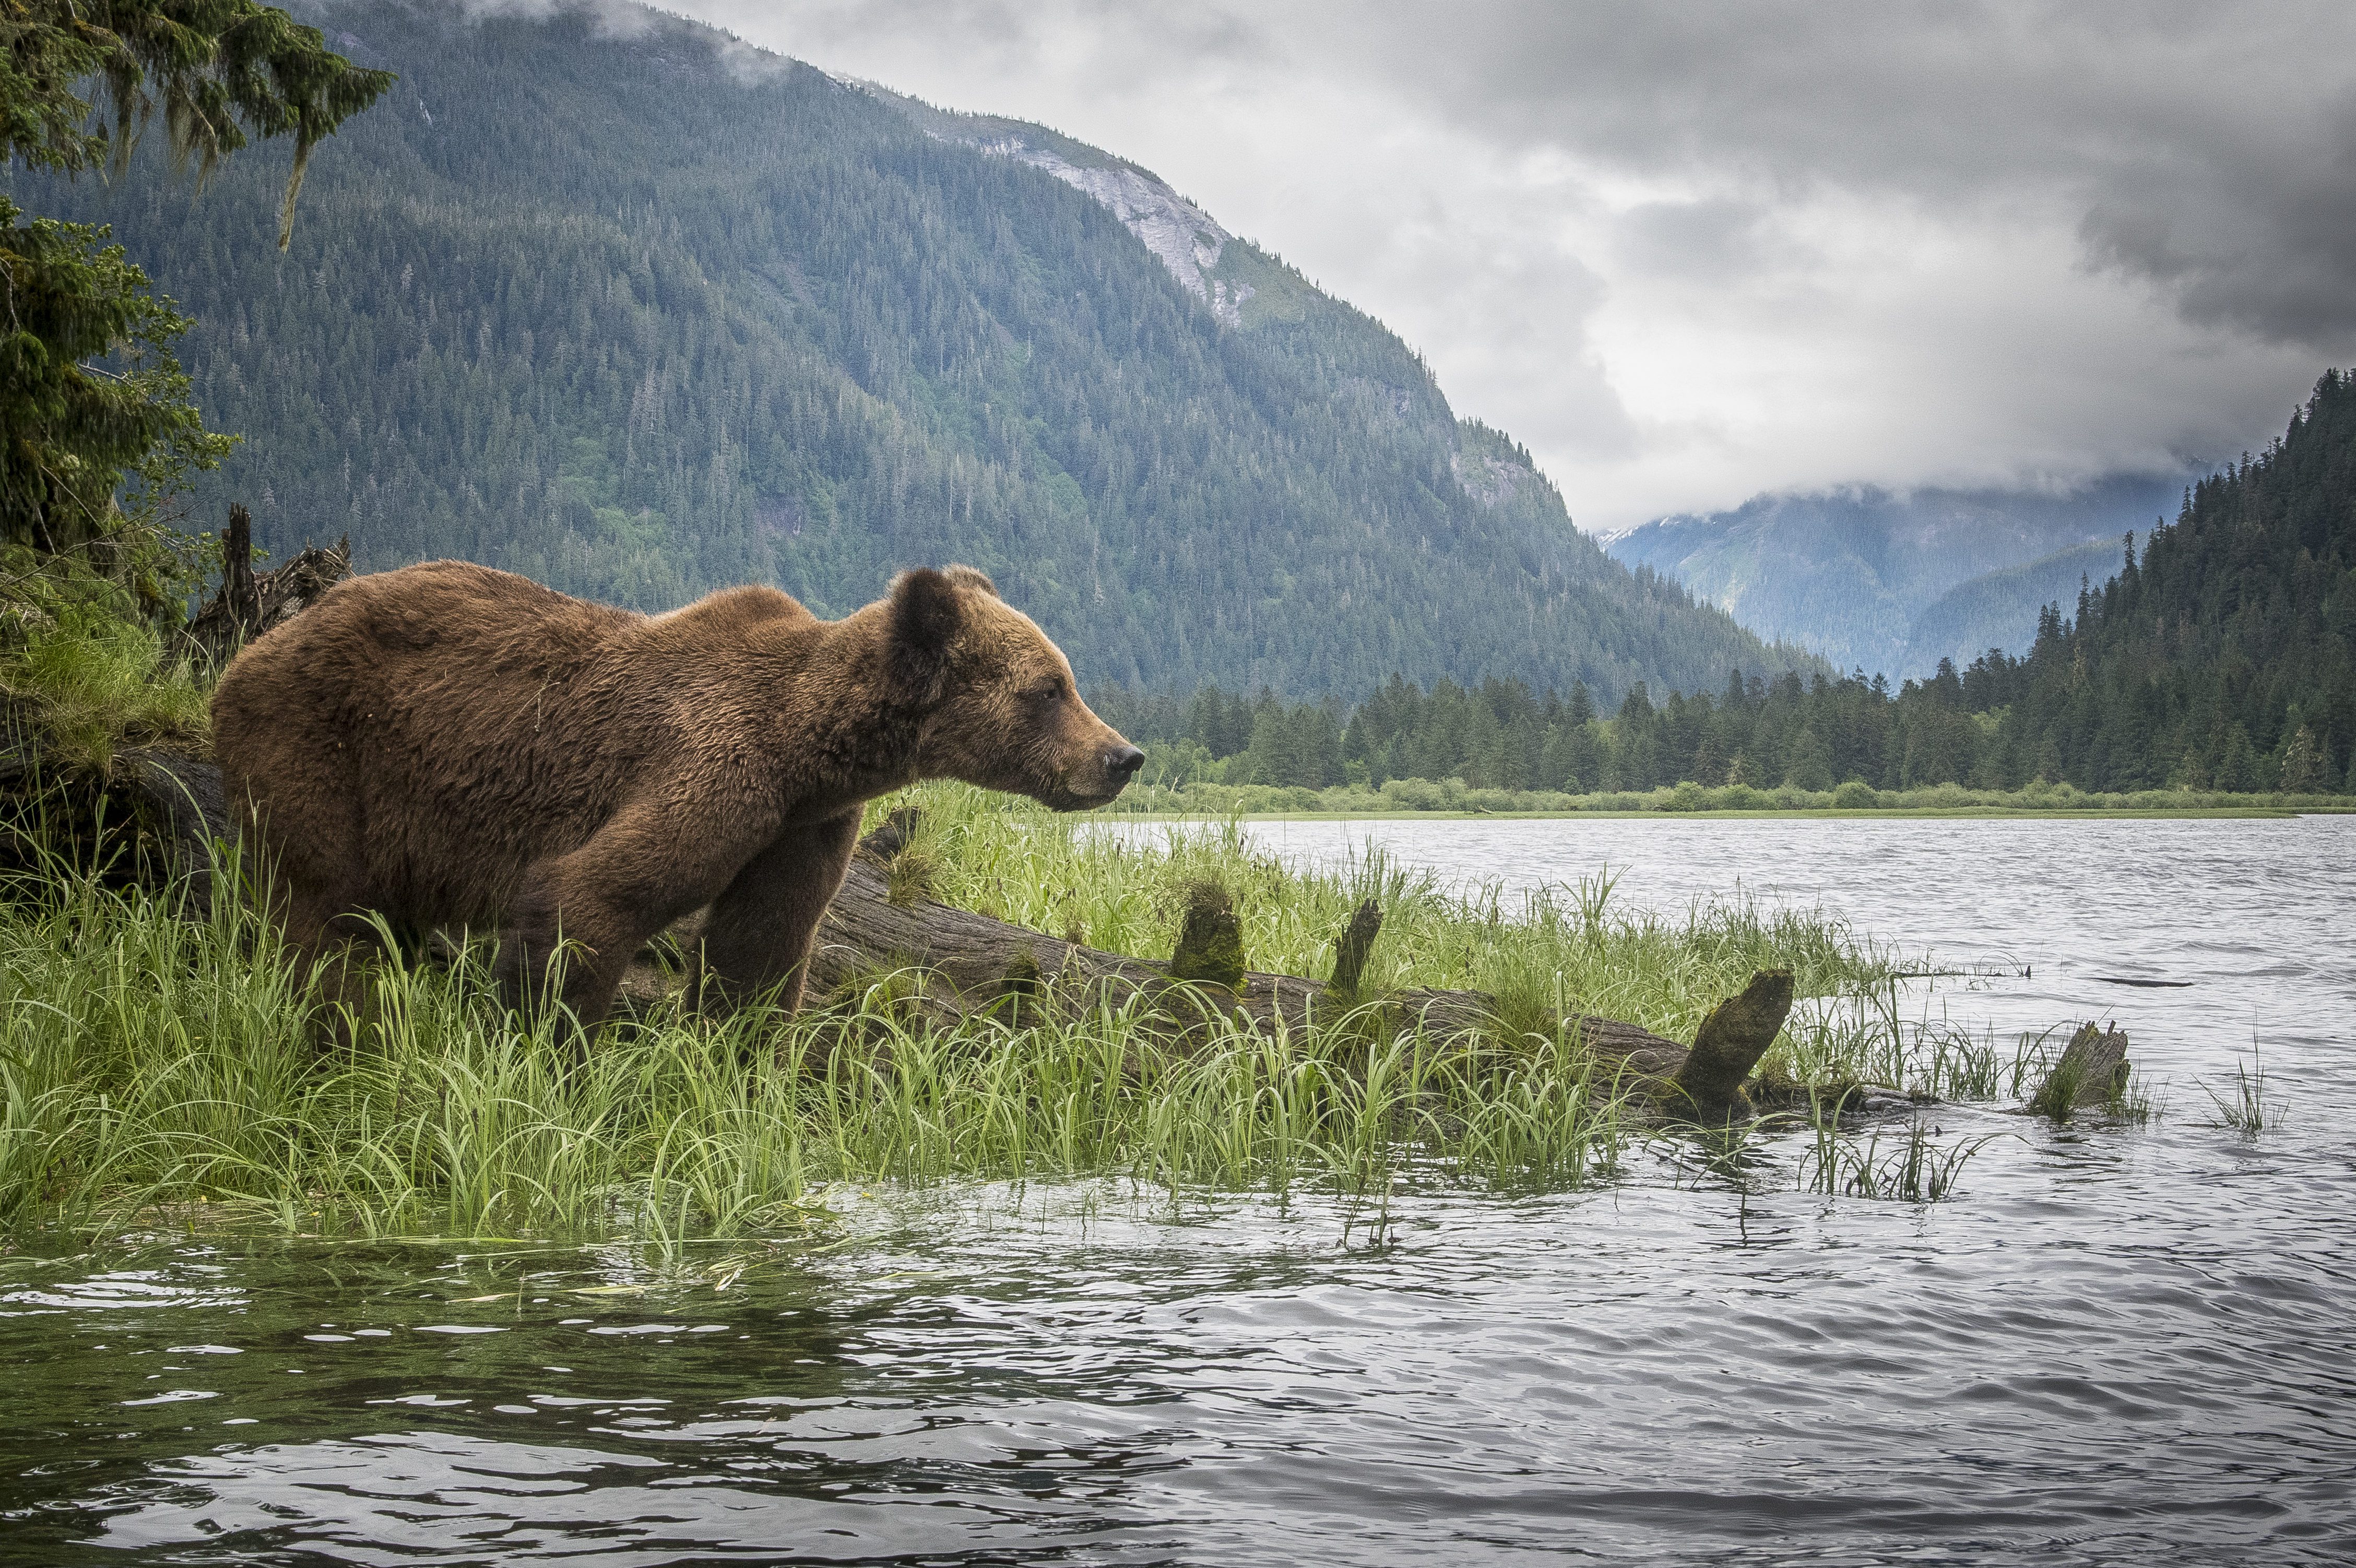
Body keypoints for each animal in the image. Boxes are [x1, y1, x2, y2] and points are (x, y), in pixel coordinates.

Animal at [207, 557, 1145, 1026]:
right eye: (1048, 688)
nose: (1122, 756)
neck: (808, 749)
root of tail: (250, 650)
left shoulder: (798, 829)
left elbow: (760, 952)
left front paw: (742, 1071)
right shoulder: (710, 770)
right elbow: (589, 898)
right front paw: (548, 1065)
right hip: (320, 749)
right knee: (326, 919)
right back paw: (343, 1036)